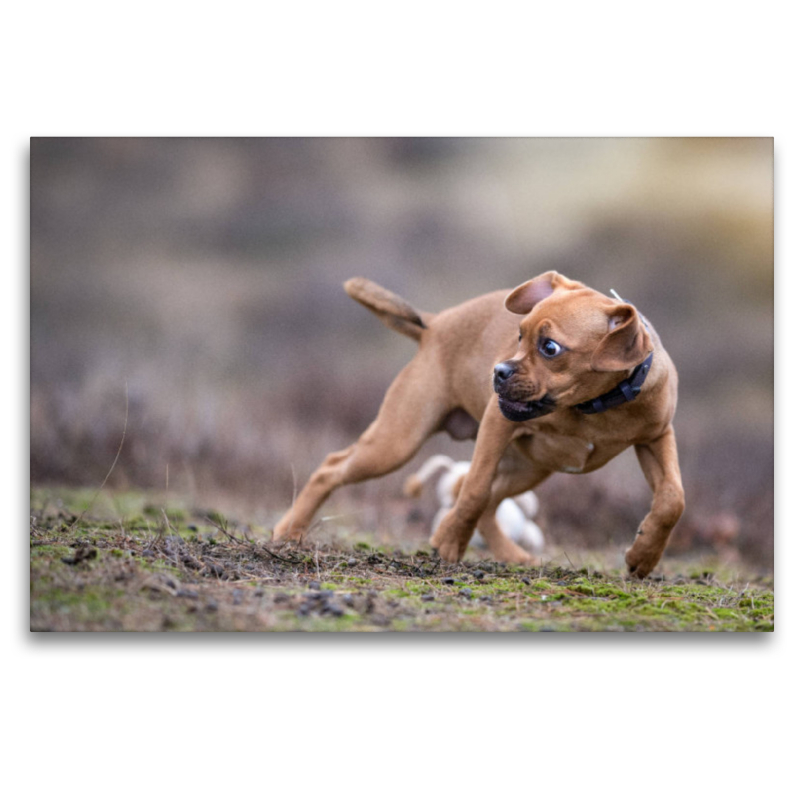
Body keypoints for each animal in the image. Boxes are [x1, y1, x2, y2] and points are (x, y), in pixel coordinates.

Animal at [274, 272, 680, 580]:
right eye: (519, 335)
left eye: (549, 347)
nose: (498, 372)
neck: (594, 407)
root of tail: (434, 323)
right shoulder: (497, 423)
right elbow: (474, 489)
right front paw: (452, 543)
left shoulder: (657, 439)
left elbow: (672, 500)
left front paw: (644, 555)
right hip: (397, 442)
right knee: (332, 468)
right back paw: (290, 531)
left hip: (531, 468)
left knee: (490, 502)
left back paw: (508, 553)